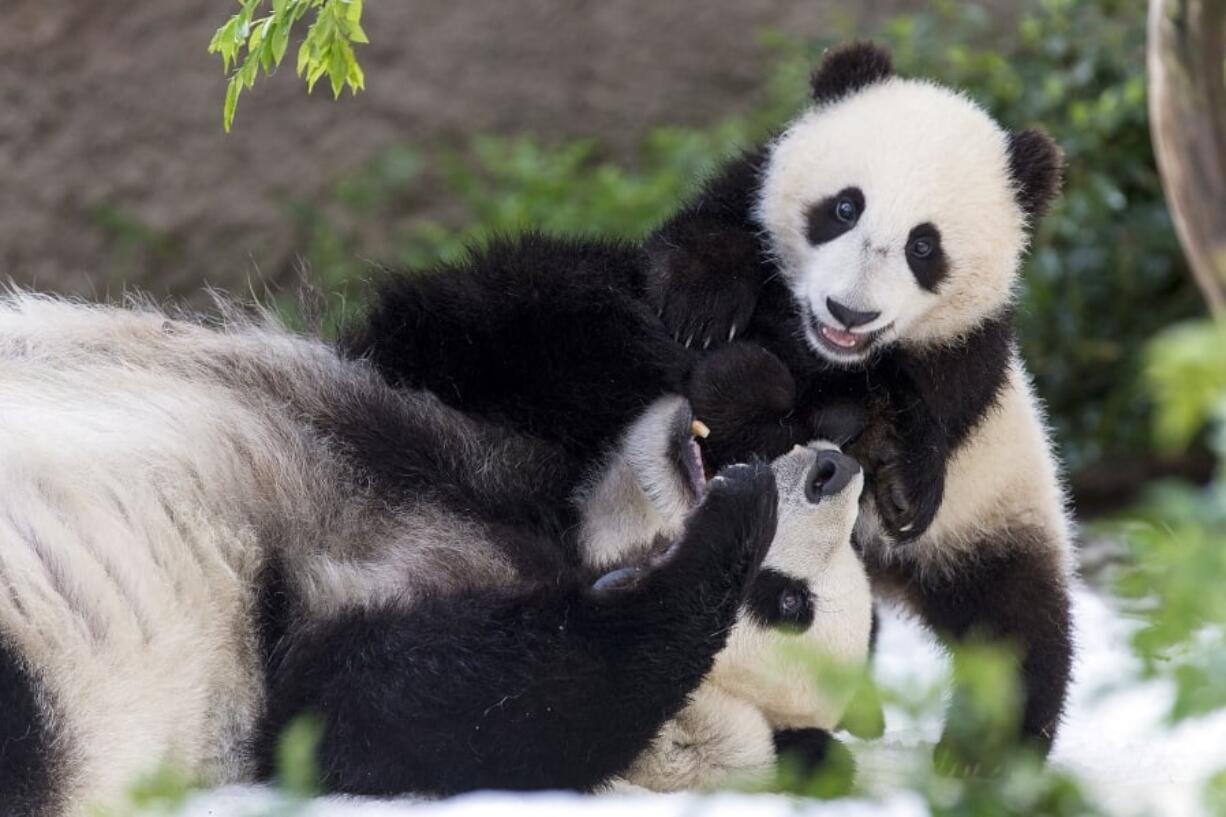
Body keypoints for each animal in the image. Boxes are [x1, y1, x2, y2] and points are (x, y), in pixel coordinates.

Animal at [0, 290, 872, 809]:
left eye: (784, 601)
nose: (834, 471)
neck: (548, 534)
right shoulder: (463, 414)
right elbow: (489, 325)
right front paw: (753, 369)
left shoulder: (292, 676)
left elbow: (394, 712)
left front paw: (722, 538)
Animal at [345, 42, 1073, 755]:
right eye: (843, 208)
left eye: (925, 246)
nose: (849, 311)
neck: (818, 349)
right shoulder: (733, 213)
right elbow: (703, 246)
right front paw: (706, 316)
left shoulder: (967, 359)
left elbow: (927, 409)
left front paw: (895, 471)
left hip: (999, 513)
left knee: (1020, 630)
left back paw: (986, 752)